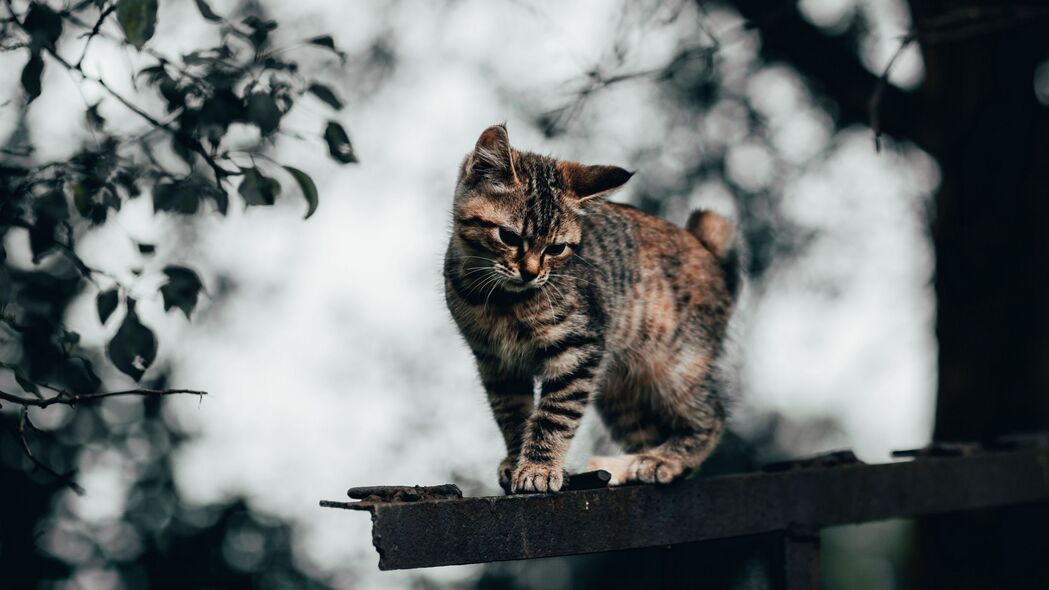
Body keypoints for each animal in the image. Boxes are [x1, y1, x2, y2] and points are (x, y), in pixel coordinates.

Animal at [442, 123, 738, 491]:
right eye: (508, 237)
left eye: (556, 249)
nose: (530, 273)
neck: (502, 302)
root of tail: (704, 247)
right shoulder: (496, 363)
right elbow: (512, 415)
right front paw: (516, 460)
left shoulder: (579, 349)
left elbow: (554, 414)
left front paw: (539, 467)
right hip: (619, 393)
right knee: (647, 433)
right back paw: (625, 466)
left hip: (678, 364)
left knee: (711, 416)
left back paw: (662, 460)